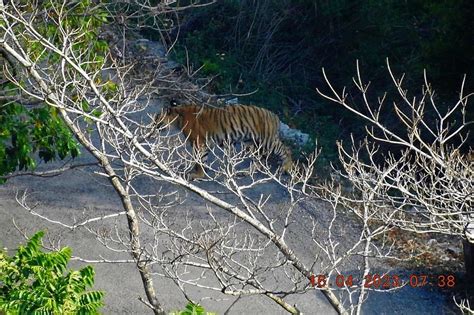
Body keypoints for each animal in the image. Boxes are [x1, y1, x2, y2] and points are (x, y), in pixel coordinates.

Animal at [156, 101, 292, 180]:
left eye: (157, 118)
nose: (154, 126)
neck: (178, 117)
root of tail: (275, 116)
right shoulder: (204, 143)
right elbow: (202, 159)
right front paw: (200, 173)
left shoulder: (199, 142)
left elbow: (199, 160)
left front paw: (197, 174)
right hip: (251, 143)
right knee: (258, 160)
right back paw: (244, 173)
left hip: (267, 140)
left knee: (285, 149)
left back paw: (286, 167)